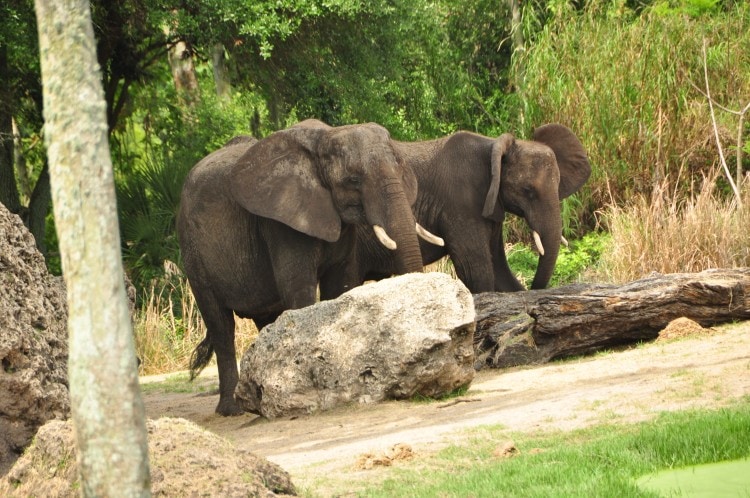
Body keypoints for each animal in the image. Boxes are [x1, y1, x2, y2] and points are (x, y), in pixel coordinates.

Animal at [179, 121, 444, 416]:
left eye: (399, 169)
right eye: (353, 180)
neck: (326, 137)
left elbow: (339, 287)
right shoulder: (281, 222)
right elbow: (299, 290)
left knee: (266, 321)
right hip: (193, 254)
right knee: (221, 326)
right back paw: (233, 410)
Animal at [348, 123, 592, 292]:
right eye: (527, 190)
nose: (534, 287)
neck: (493, 146)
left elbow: (500, 273)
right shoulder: (461, 204)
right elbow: (477, 272)